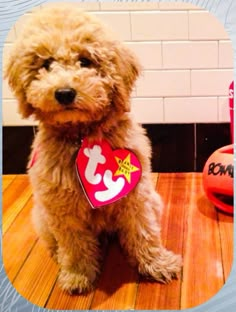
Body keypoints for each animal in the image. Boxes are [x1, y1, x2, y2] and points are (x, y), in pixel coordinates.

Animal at [6, 4, 183, 292]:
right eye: (46, 64)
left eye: (85, 61)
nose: (64, 93)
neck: (82, 136)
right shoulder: (62, 209)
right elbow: (75, 244)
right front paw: (77, 275)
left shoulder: (136, 196)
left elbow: (143, 231)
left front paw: (158, 264)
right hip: (42, 217)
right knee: (57, 243)